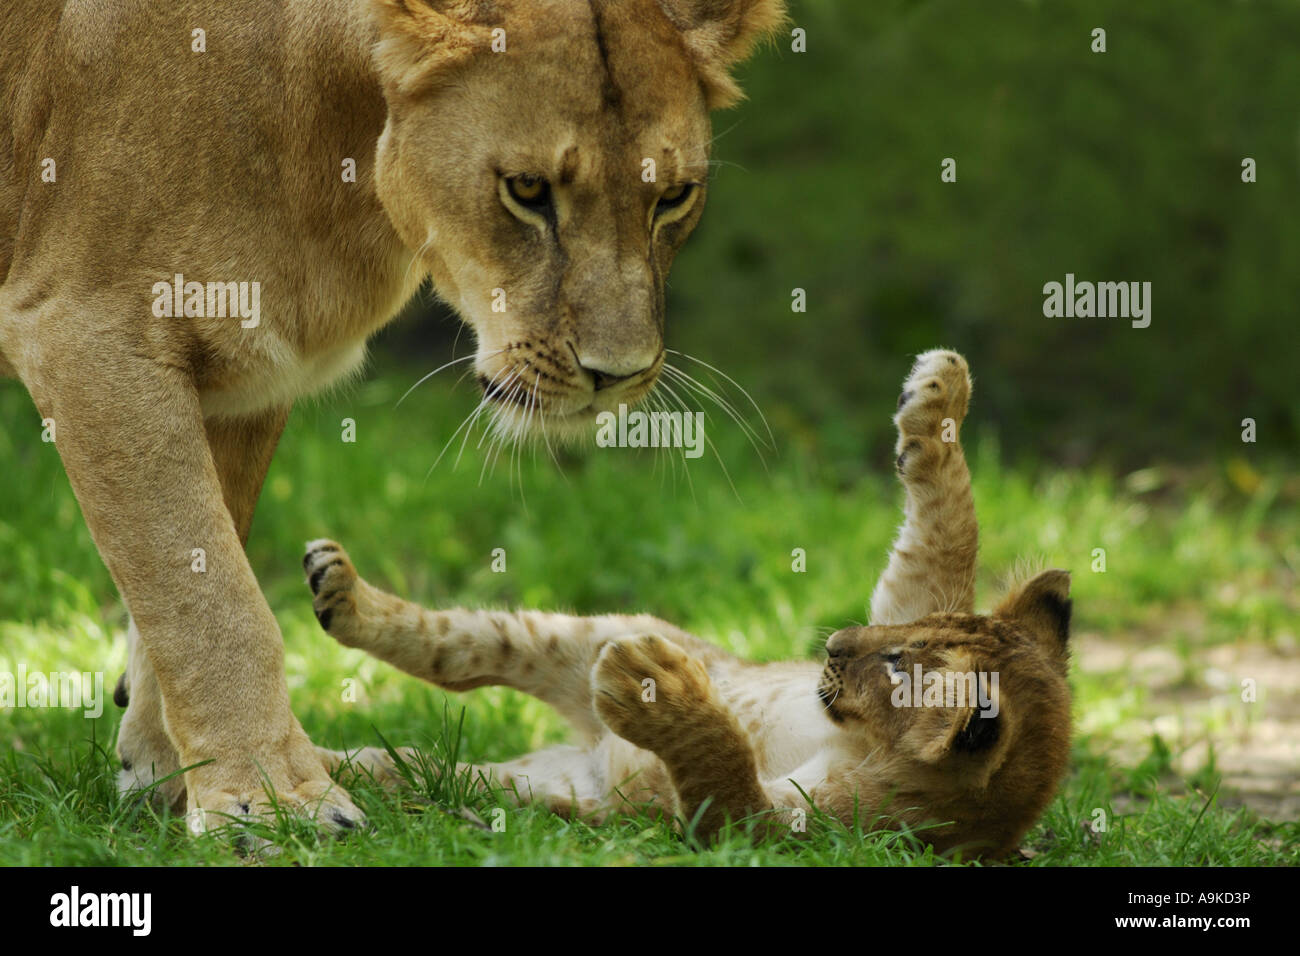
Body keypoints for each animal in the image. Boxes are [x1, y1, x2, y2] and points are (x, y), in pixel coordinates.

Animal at [0, 0, 786, 834]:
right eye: (527, 189)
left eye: (673, 196)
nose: (619, 375)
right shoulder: (85, 330)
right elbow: (210, 601)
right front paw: (270, 801)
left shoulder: (239, 375)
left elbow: (202, 564)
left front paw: (165, 775)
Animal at [304, 351, 1075, 859]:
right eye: (905, 633)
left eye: (892, 662)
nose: (832, 646)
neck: (858, 740)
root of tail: (588, 752)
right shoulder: (911, 589)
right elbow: (947, 531)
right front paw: (941, 390)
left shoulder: (799, 838)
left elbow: (728, 785)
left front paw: (659, 690)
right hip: (588, 634)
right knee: (457, 650)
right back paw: (336, 592)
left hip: (543, 786)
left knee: (428, 760)